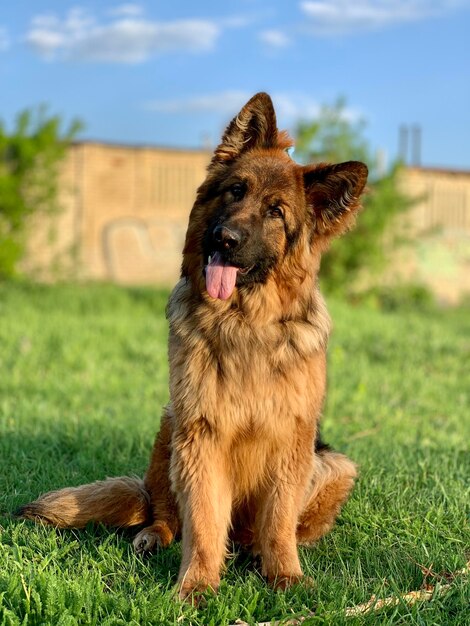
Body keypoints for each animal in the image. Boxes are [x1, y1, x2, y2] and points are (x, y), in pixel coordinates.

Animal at [18, 91, 370, 596]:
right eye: (235, 191)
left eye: (276, 212)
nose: (225, 238)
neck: (245, 323)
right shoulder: (201, 433)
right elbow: (202, 519)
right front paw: (197, 585)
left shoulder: (292, 438)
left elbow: (279, 521)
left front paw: (285, 575)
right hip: (171, 426)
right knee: (166, 514)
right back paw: (154, 536)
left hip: (335, 465)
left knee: (265, 529)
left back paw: (254, 551)